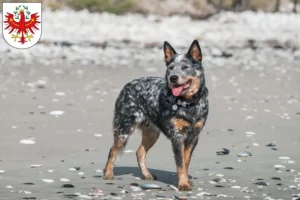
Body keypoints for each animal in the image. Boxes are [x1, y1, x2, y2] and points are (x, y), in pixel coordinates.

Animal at [104, 39, 210, 191]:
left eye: (185, 67)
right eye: (171, 67)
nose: (173, 77)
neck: (188, 103)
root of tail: (127, 85)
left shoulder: (193, 137)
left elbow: (186, 161)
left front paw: (187, 181)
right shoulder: (177, 137)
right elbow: (180, 164)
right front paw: (183, 183)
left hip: (152, 133)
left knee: (140, 152)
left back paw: (147, 175)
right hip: (125, 128)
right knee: (113, 150)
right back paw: (107, 173)